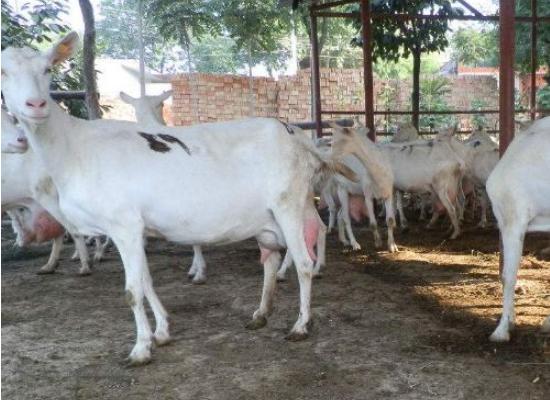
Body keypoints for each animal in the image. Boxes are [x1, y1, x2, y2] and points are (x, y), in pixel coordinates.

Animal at [2, 33, 358, 366]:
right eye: (3, 72)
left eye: (47, 69)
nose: (36, 105)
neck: (74, 148)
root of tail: (297, 137)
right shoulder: (134, 230)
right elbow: (146, 282)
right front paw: (161, 331)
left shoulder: (123, 224)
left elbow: (132, 291)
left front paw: (140, 349)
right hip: (268, 217)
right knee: (271, 259)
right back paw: (260, 314)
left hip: (289, 204)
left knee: (304, 262)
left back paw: (301, 325)